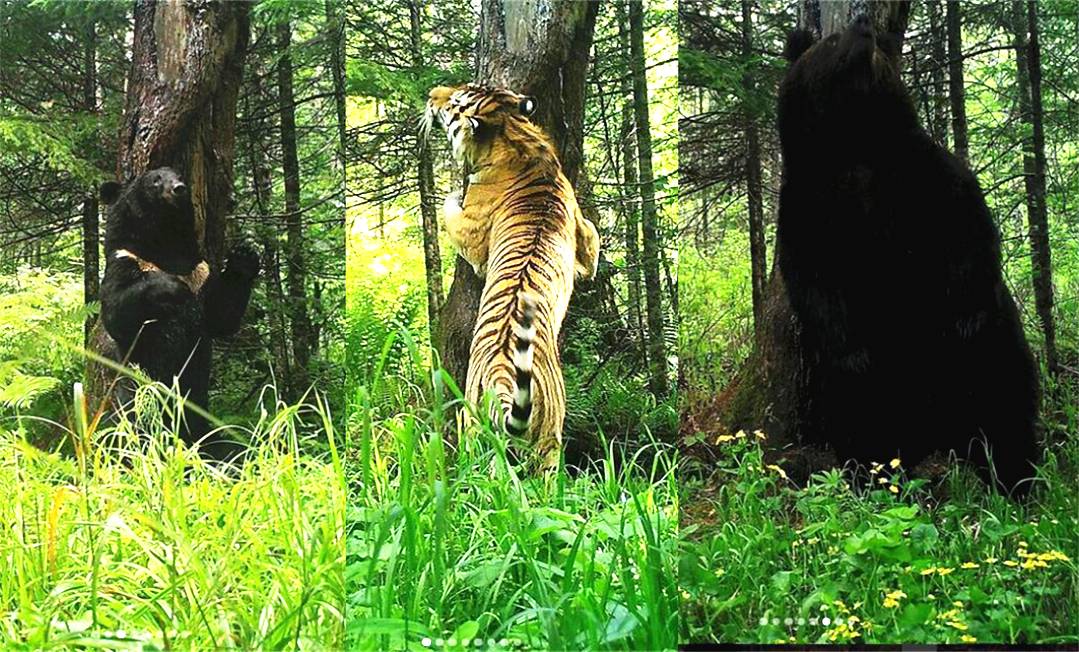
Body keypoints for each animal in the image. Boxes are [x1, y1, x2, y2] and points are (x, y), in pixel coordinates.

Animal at [98, 167, 259, 461]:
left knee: (222, 444)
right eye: (155, 180)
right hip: (138, 403)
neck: (164, 242)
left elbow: (220, 316)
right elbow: (117, 313)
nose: (179, 188)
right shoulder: (125, 260)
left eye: (179, 175)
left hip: (203, 417)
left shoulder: (199, 271)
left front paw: (244, 257)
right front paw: (170, 288)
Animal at [775, 15, 1040, 496]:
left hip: (995, 358)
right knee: (863, 430)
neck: (856, 149)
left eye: (881, 45)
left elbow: (966, 234)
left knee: (1006, 421)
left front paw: (962, 317)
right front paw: (851, 352)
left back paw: (1018, 488)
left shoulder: (926, 174)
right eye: (833, 39)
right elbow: (814, 283)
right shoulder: (808, 206)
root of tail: (936, 436)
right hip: (865, 399)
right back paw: (874, 482)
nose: (864, 24)